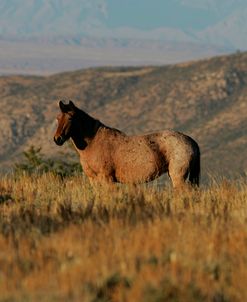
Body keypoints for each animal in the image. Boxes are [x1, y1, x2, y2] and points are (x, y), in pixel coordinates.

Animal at [53, 102, 200, 190]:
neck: (93, 142)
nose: (57, 139)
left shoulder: (107, 179)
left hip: (178, 177)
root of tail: (190, 140)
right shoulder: (93, 180)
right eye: (57, 118)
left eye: (70, 118)